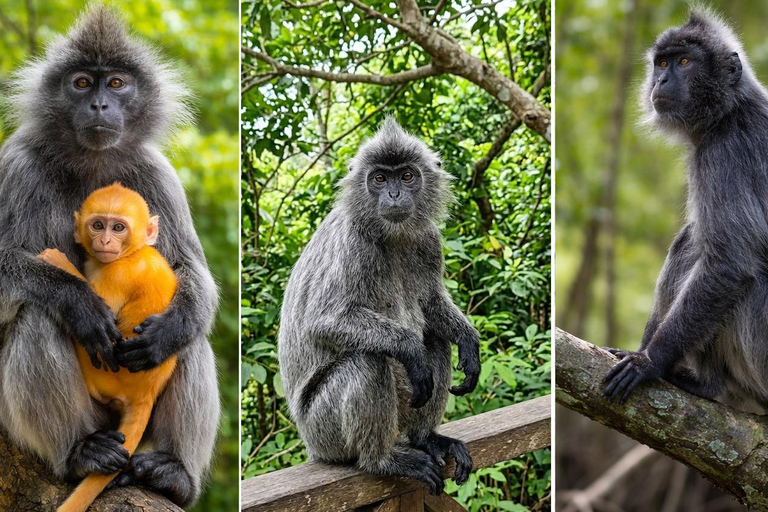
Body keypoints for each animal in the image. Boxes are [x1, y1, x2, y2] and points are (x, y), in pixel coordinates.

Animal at [37, 183, 177, 512]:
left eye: (119, 228)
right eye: (98, 225)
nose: (105, 241)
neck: (134, 250)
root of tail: (146, 394)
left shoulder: (118, 274)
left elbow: (105, 319)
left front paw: (57, 261)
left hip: (100, 377)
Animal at [277, 118, 481, 495]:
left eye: (407, 176)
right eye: (380, 179)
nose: (395, 195)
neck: (393, 235)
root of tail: (312, 446)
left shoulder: (429, 240)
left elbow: (431, 302)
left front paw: (468, 341)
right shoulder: (353, 242)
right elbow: (322, 320)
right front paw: (411, 350)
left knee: (435, 338)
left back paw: (426, 438)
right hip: (324, 430)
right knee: (370, 359)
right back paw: (382, 460)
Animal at [602, 9, 768, 413]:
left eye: (685, 63)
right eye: (662, 63)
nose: (661, 79)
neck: (730, 111)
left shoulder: (726, 151)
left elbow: (729, 262)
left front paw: (649, 362)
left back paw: (706, 383)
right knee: (690, 239)